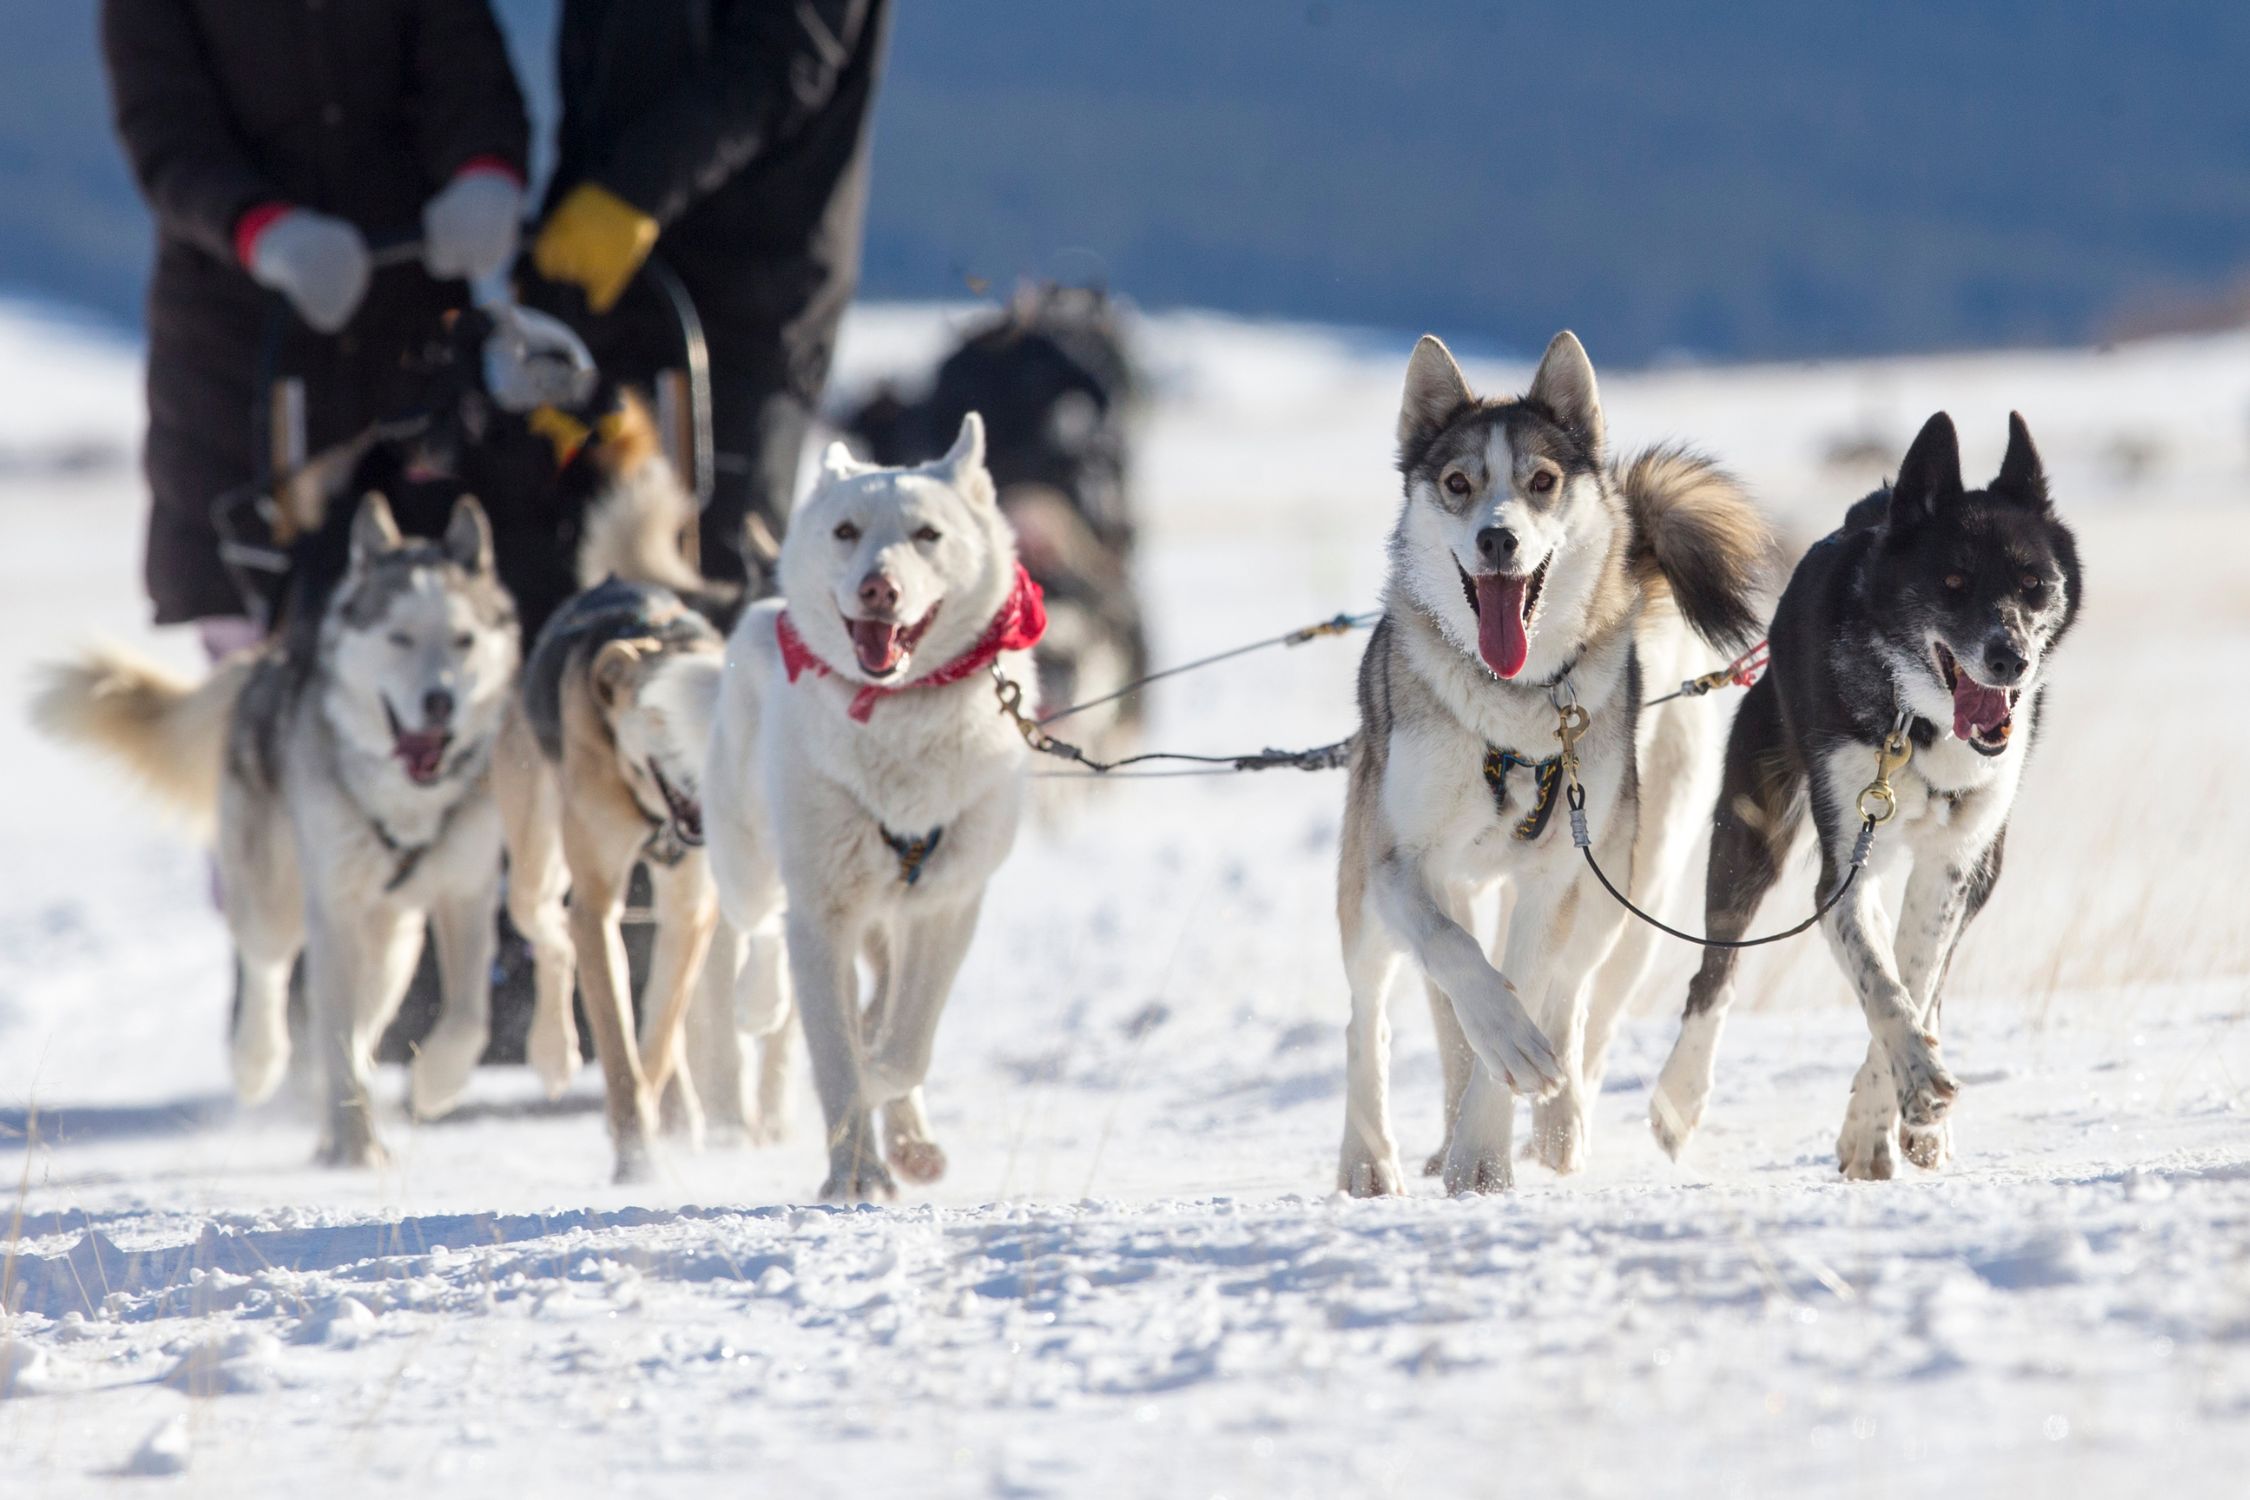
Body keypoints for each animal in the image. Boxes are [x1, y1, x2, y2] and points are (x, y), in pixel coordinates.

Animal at [37, 499, 519, 1169]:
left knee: (362, 1024)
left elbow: (469, 1014)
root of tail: (268, 658)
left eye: (464, 640)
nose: (440, 702)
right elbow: (332, 1031)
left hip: (392, 943)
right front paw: (354, 1141)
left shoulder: (467, 894)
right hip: (274, 897)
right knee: (268, 971)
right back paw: (259, 1065)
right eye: (398, 637)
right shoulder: (333, 911)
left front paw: (434, 1083)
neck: (406, 801)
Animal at [702, 413, 1044, 1205]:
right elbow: (835, 1047)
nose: (878, 589)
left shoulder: (948, 903)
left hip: (897, 914)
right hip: (748, 862)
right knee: (758, 931)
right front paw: (854, 1170)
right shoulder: (823, 909)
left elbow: (905, 1044)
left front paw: (884, 1088)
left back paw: (912, 1138)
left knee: (883, 1011)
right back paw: (762, 998)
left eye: (927, 534)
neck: (898, 717)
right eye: (846, 531)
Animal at [1332, 330, 1773, 1196]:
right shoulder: (1400, 863)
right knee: (1375, 1011)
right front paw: (1491, 1081)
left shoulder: (1553, 877)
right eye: (1458, 484)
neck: (1508, 709)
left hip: (1625, 886)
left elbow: (1532, 988)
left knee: (1573, 997)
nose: (1498, 539)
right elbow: (1460, 967)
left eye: (1541, 481)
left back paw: (1557, 1123)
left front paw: (1484, 1154)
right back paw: (1369, 1157)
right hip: (1370, 892)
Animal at [1647, 416, 2079, 1178]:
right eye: (1953, 581)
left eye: (2034, 584)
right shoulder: (1846, 868)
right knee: (1715, 972)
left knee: (1932, 980)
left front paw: (1884, 1120)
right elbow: (1881, 983)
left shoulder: (1954, 865)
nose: (2010, 658)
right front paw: (1915, 1087)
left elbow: (1912, 975)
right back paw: (1679, 1097)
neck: (1918, 724)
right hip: (1752, 832)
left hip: (1984, 866)